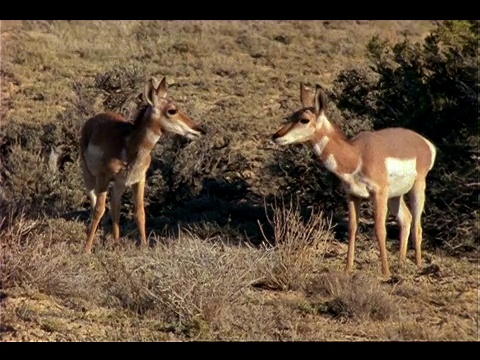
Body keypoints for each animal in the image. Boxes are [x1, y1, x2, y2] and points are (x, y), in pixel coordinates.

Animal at [79, 76, 203, 253]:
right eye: (172, 110)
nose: (199, 129)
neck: (128, 145)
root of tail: (93, 120)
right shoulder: (103, 178)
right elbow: (99, 210)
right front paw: (87, 249)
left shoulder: (139, 180)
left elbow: (140, 212)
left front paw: (144, 246)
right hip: (89, 176)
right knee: (95, 203)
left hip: (119, 184)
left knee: (115, 205)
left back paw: (116, 243)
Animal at [272, 83, 436, 276]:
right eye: (292, 116)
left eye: (304, 119)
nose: (276, 136)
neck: (357, 155)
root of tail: (424, 142)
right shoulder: (352, 195)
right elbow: (352, 228)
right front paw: (348, 268)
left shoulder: (378, 194)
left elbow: (380, 229)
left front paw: (385, 272)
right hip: (395, 196)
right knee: (406, 219)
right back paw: (401, 265)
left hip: (417, 188)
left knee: (417, 225)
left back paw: (417, 265)